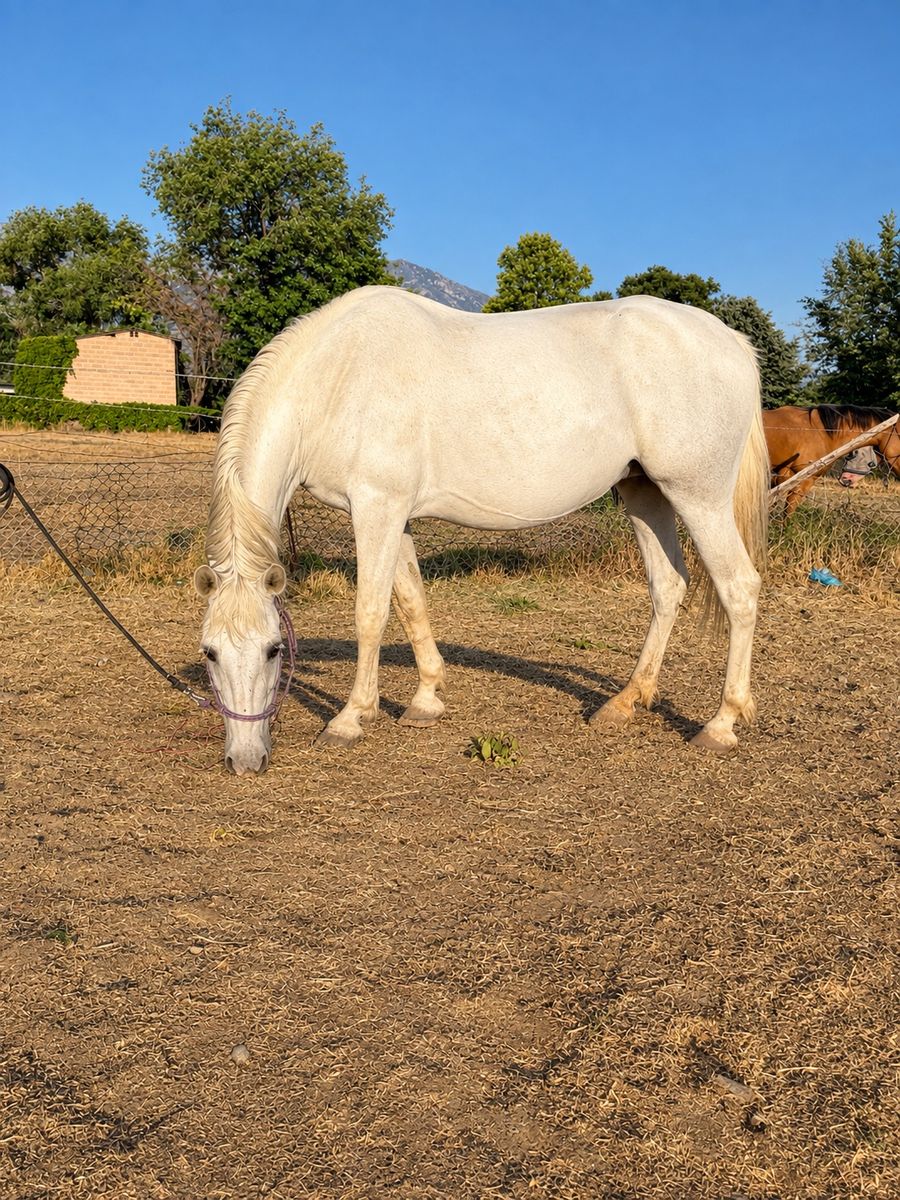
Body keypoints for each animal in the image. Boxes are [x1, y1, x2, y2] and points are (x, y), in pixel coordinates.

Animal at [194, 287, 769, 774]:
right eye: (210, 652)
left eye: (274, 649)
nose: (245, 760)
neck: (336, 379)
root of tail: (733, 342)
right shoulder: (398, 516)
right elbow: (411, 601)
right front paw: (426, 698)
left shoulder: (376, 509)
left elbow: (370, 613)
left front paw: (351, 718)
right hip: (644, 493)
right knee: (668, 586)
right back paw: (625, 702)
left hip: (698, 496)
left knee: (739, 588)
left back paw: (721, 723)